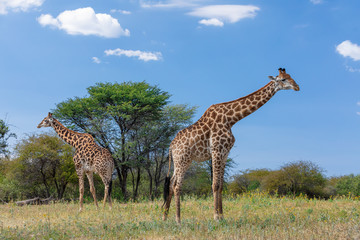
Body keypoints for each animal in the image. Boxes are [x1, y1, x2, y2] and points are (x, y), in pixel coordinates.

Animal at [162, 67, 300, 223]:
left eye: (290, 76)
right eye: (283, 79)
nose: (297, 87)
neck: (231, 119)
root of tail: (171, 146)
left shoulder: (225, 153)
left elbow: (221, 185)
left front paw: (222, 216)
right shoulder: (216, 150)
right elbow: (215, 184)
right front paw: (216, 216)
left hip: (180, 161)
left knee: (171, 184)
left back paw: (165, 217)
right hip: (183, 159)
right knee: (176, 185)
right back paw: (178, 220)